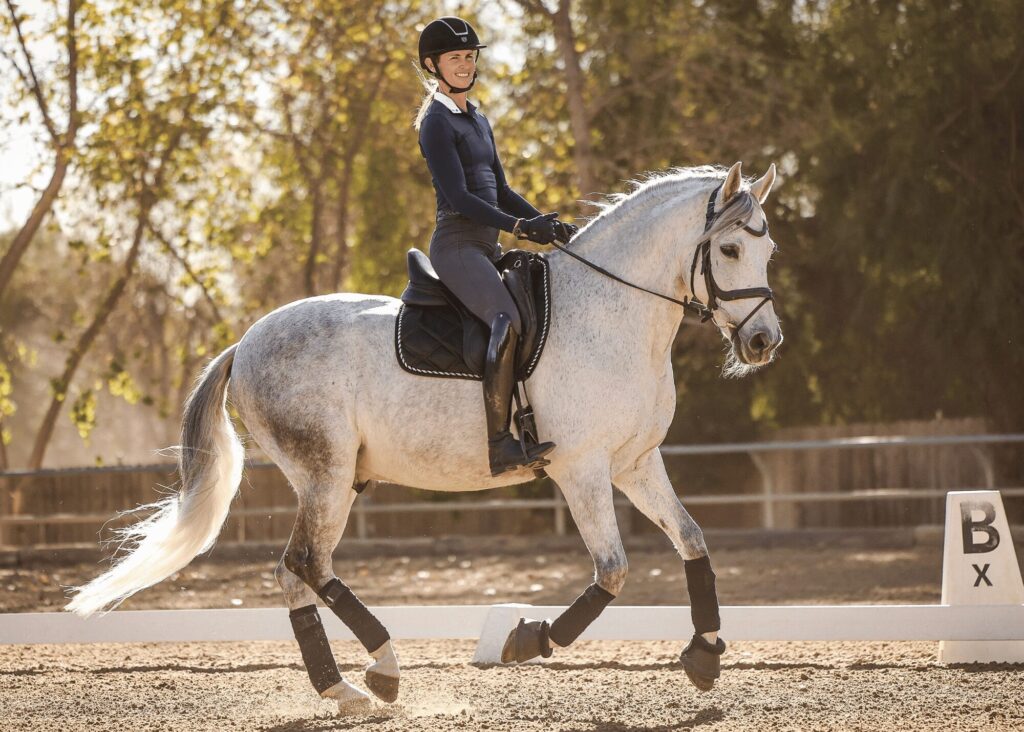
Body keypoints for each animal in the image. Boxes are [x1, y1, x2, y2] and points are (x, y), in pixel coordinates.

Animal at [67, 161, 782, 711]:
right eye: (728, 250)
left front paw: (705, 656)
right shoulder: (580, 468)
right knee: (308, 564)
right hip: (325, 474)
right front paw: (526, 640)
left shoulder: (636, 462)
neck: (612, 314)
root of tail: (244, 345)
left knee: (295, 572)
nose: (763, 343)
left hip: (333, 479)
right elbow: (612, 573)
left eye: (767, 251)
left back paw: (343, 690)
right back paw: (382, 668)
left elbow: (692, 540)